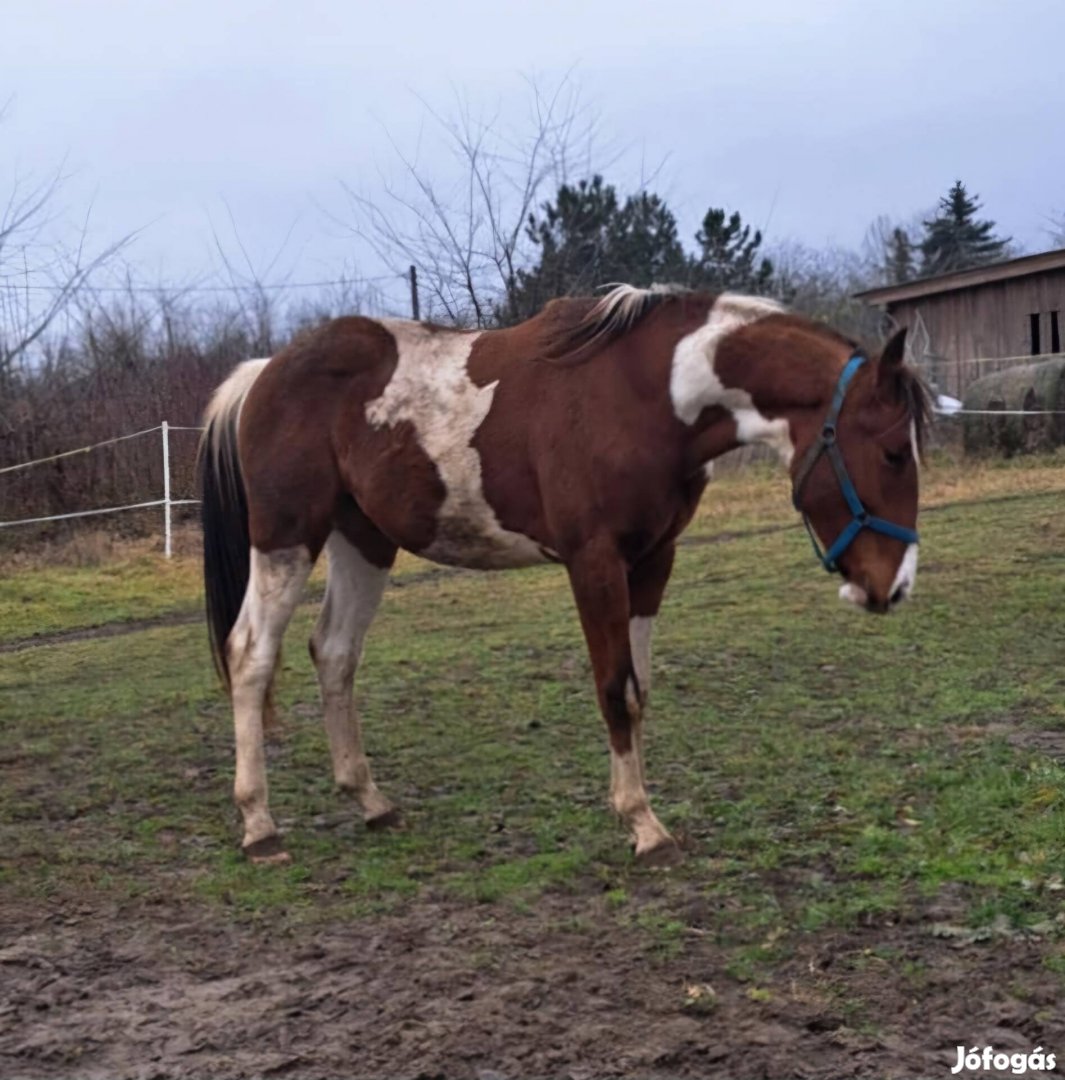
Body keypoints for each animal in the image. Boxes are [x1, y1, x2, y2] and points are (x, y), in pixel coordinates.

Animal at [198, 282, 928, 864]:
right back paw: (259, 824)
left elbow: (639, 688)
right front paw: (643, 826)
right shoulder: (594, 561)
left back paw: (371, 801)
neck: (645, 394)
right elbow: (614, 688)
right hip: (287, 537)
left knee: (335, 653)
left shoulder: (653, 559)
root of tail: (265, 371)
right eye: (894, 452)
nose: (892, 587)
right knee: (251, 654)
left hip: (364, 541)